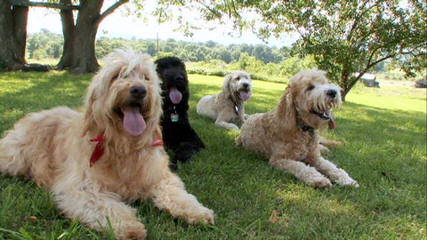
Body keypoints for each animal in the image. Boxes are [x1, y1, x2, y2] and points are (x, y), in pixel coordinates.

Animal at [0, 48, 214, 238]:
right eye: (118, 75)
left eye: (145, 77)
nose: (139, 90)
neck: (123, 145)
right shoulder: (83, 187)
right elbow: (106, 206)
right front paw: (128, 226)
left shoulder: (159, 177)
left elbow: (177, 194)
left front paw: (197, 212)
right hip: (14, 158)